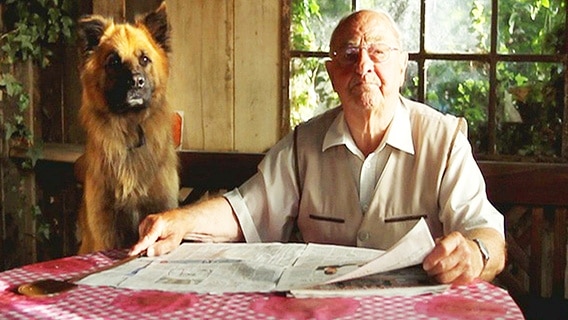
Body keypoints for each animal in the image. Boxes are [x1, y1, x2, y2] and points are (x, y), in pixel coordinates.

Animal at [75, 1, 178, 254]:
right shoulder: (106, 229)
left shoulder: (159, 206)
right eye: (113, 61)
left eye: (144, 59)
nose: (136, 82)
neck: (131, 129)